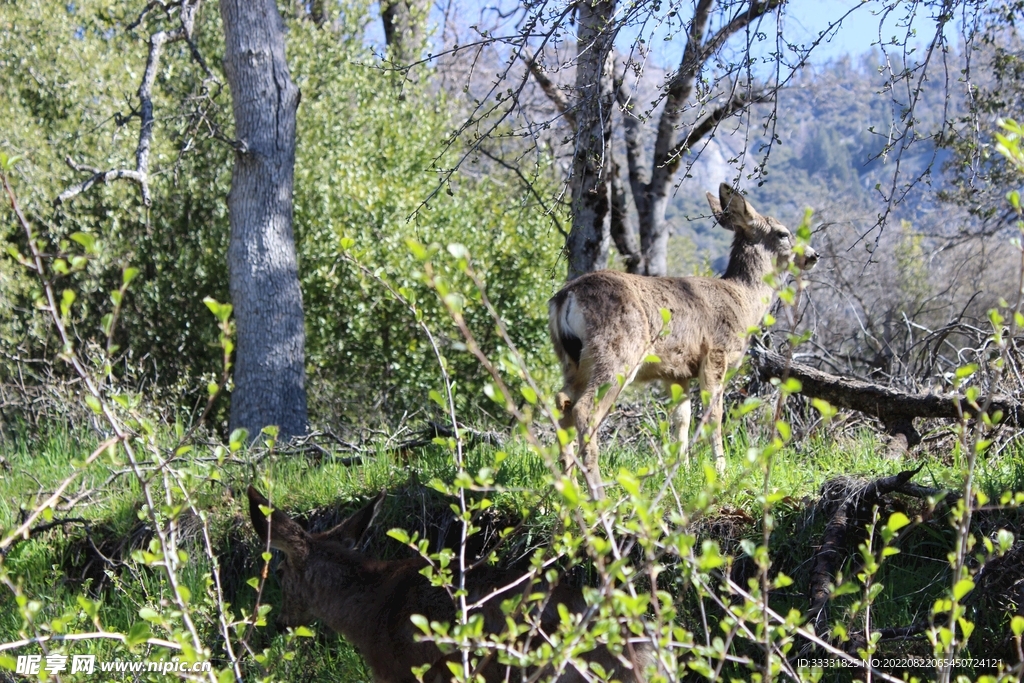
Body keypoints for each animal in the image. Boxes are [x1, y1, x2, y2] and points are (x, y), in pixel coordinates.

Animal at [549, 183, 818, 494]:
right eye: (783, 233)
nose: (813, 255)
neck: (744, 301)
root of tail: (565, 297)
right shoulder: (715, 352)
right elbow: (713, 415)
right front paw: (720, 472)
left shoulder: (675, 372)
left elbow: (681, 419)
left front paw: (681, 471)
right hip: (617, 351)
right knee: (584, 409)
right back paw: (596, 490)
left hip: (572, 361)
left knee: (562, 402)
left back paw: (567, 486)